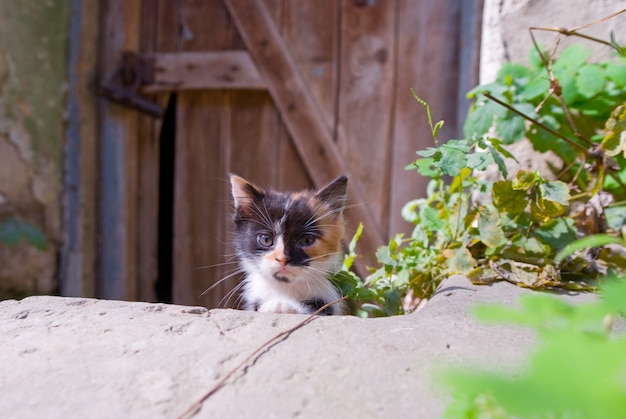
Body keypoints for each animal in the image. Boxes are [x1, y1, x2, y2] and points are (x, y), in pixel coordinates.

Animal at [228, 174, 346, 316]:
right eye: (266, 239)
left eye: (307, 241)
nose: (282, 259)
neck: (285, 287)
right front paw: (274, 306)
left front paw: (283, 306)